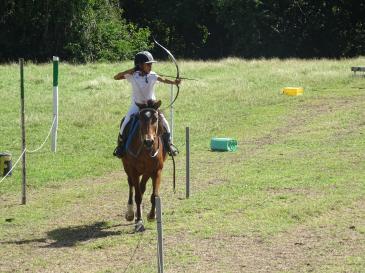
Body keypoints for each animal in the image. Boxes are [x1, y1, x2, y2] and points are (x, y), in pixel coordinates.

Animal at [121, 99, 168, 231]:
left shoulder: (156, 170)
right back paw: (131, 213)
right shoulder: (133, 170)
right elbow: (137, 196)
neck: (145, 150)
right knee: (131, 185)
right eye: (141, 119)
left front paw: (151, 216)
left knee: (142, 187)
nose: (148, 141)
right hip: (127, 167)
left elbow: (154, 195)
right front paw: (139, 221)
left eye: (155, 119)